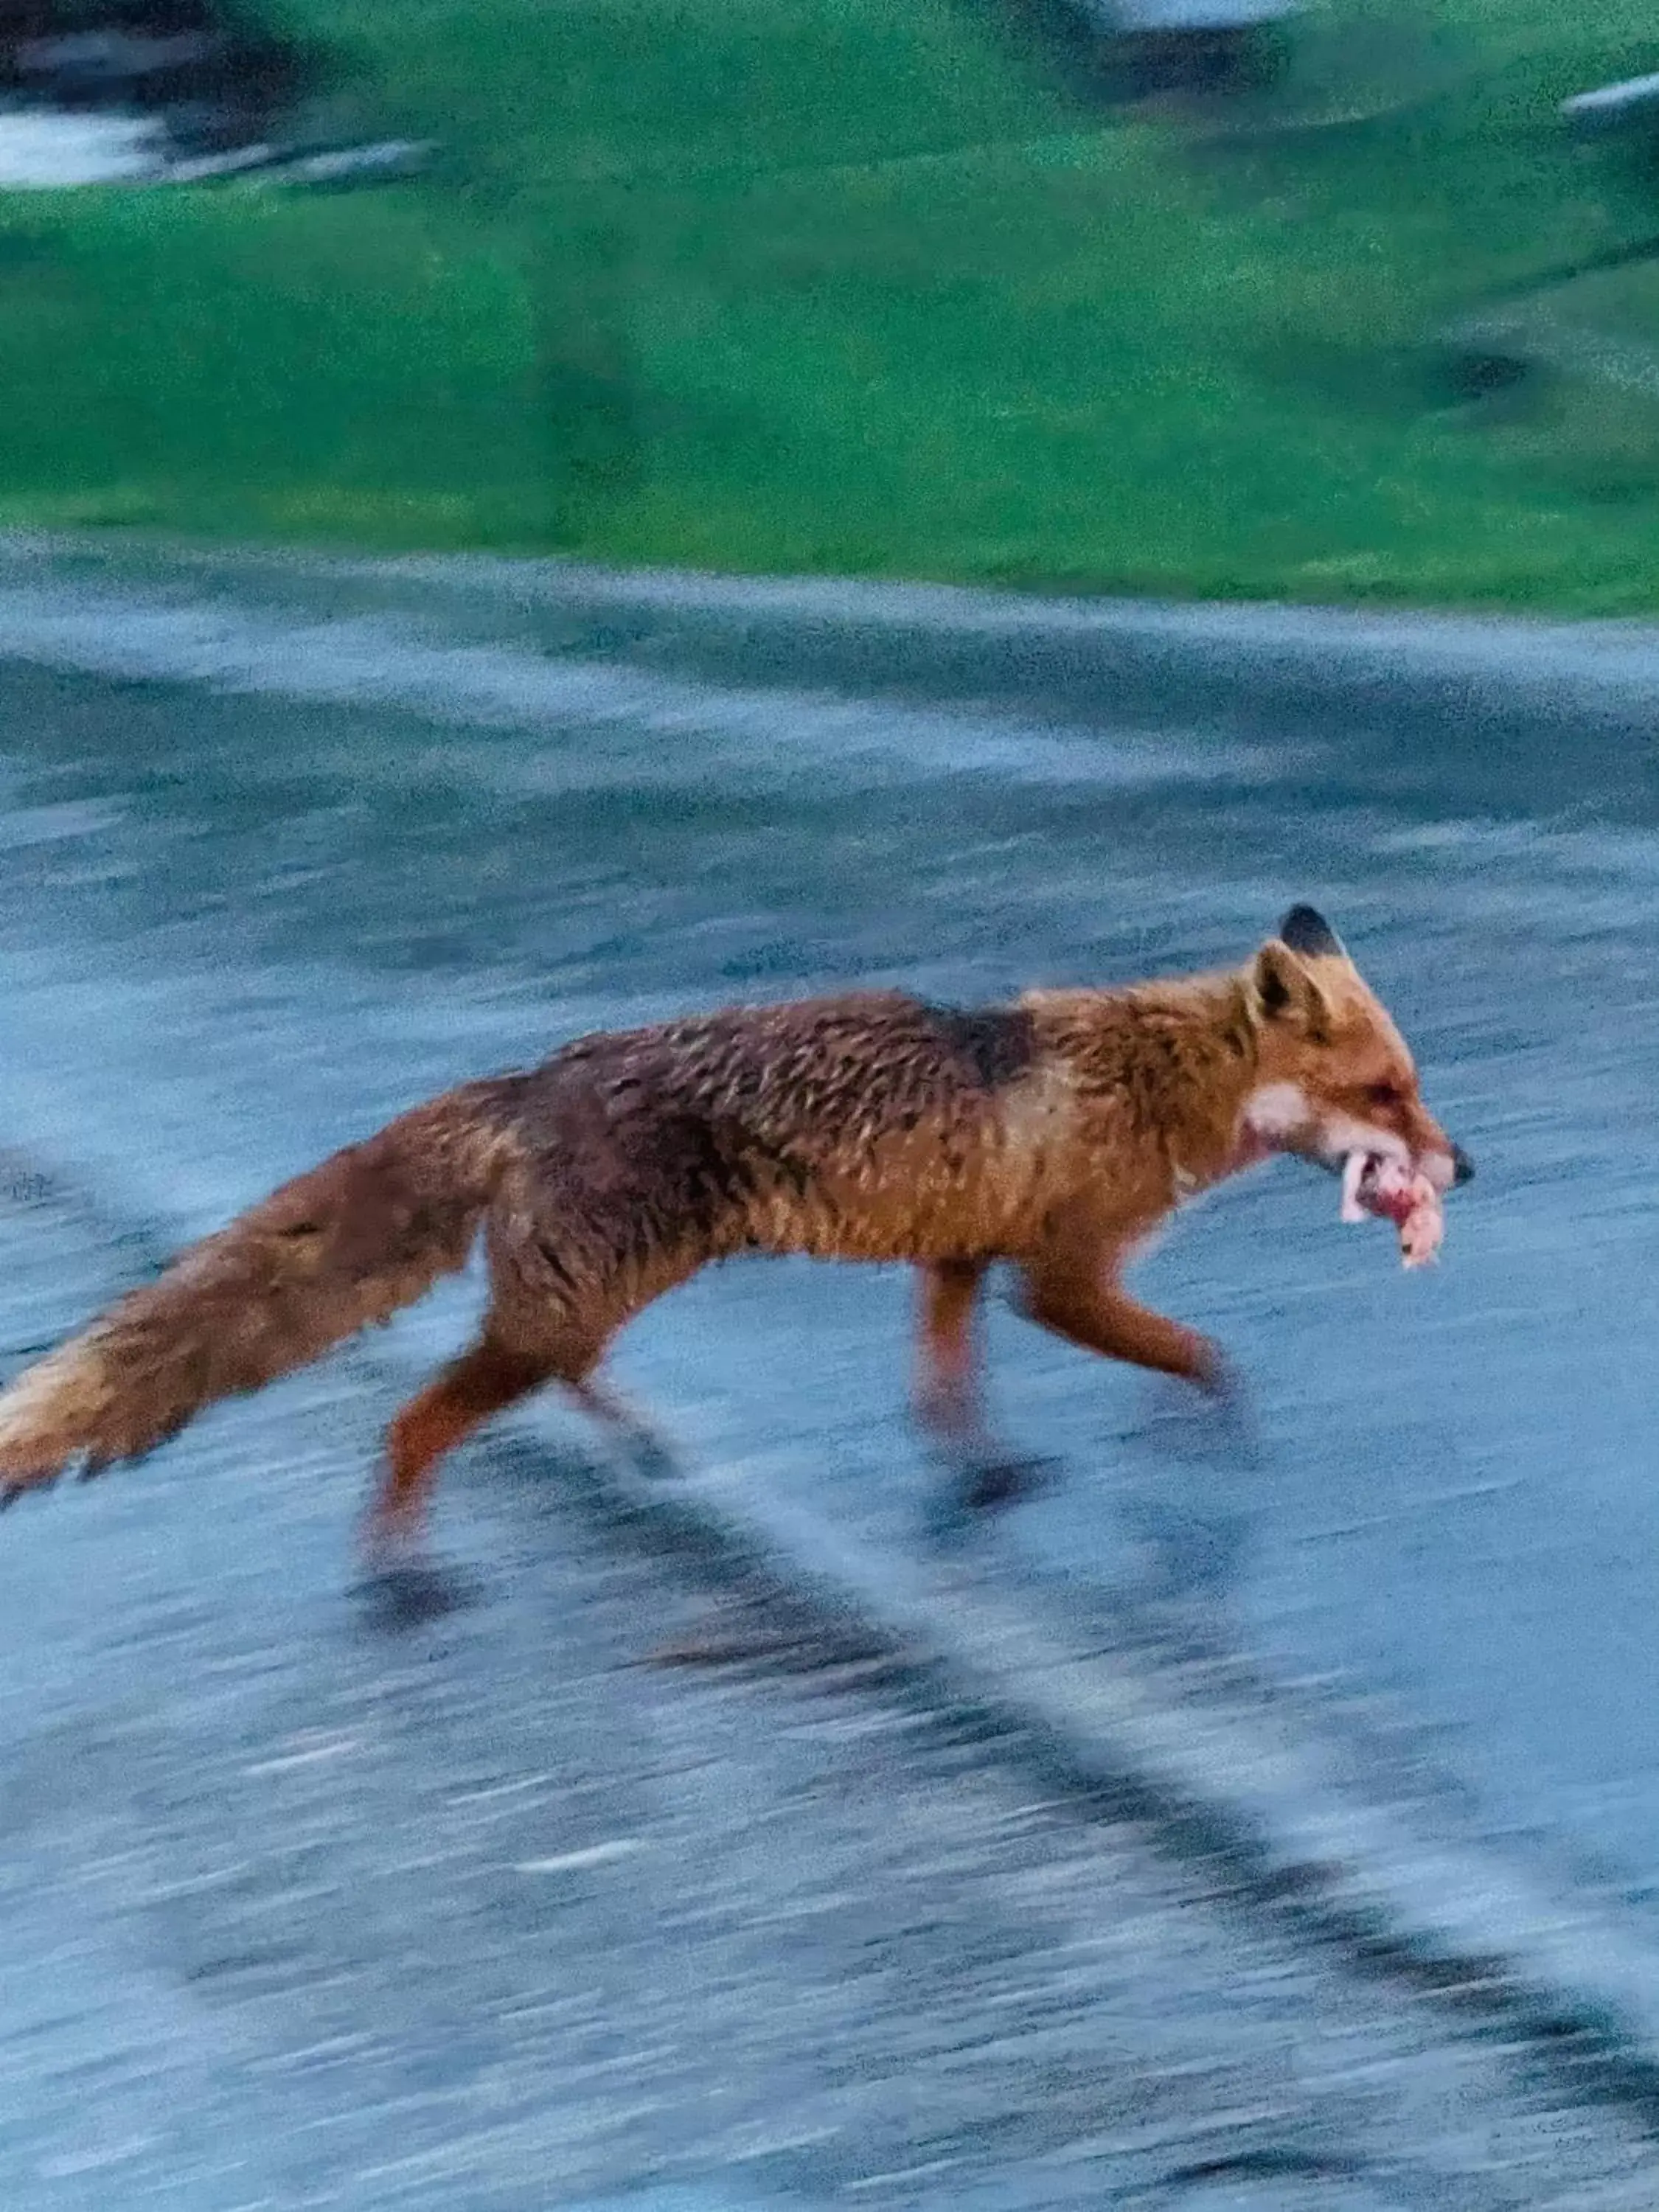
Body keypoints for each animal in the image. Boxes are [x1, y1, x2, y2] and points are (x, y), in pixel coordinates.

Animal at [0, 907, 1478, 1566]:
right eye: (1385, 1094)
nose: (1469, 1164)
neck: (1159, 1076)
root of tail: (533, 1076)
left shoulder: (960, 1258)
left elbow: (944, 1385)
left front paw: (979, 1477)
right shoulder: (1057, 1277)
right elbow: (1201, 1356)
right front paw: (1205, 1435)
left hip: (593, 1294)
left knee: (545, 1378)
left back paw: (637, 1451)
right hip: (590, 1292)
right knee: (420, 1422)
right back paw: (400, 1576)